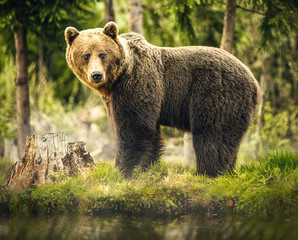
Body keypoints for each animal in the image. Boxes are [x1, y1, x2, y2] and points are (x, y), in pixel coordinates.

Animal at [64, 22, 260, 176]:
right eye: (86, 55)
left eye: (102, 54)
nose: (96, 75)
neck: (117, 79)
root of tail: (254, 82)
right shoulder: (116, 97)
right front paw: (146, 166)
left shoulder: (138, 82)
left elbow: (135, 126)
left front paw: (123, 169)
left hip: (217, 92)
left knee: (212, 133)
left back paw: (208, 172)